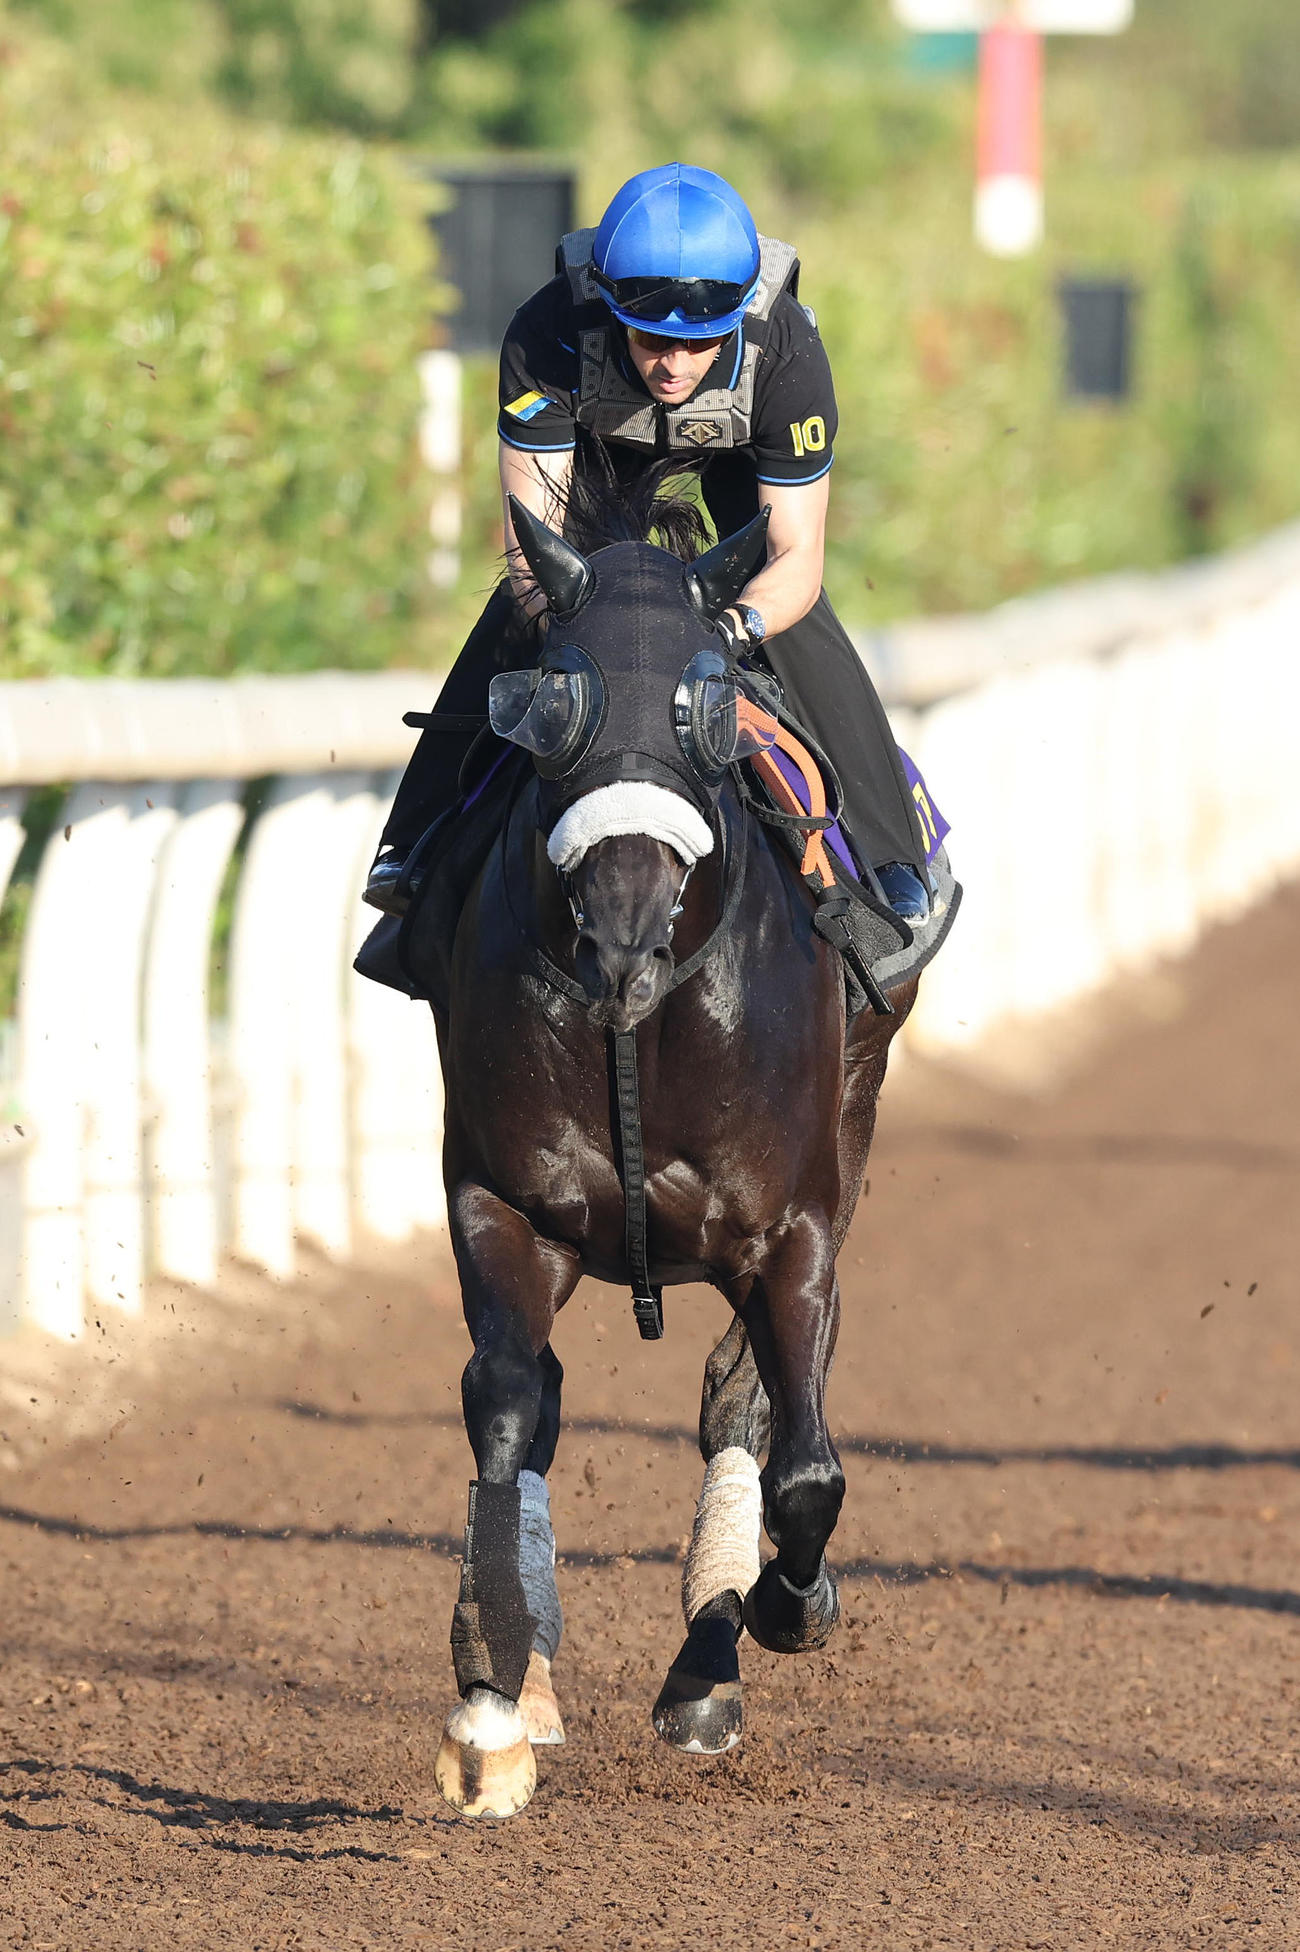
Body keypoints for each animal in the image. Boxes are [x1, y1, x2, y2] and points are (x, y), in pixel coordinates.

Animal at [403, 464, 920, 1818]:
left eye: (705, 699)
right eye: (553, 695)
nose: (626, 924)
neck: (640, 1017)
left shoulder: (790, 1230)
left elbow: (797, 1458)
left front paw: (782, 1610)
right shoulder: (502, 1205)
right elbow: (506, 1408)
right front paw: (491, 1705)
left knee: (746, 1401)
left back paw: (714, 1657)